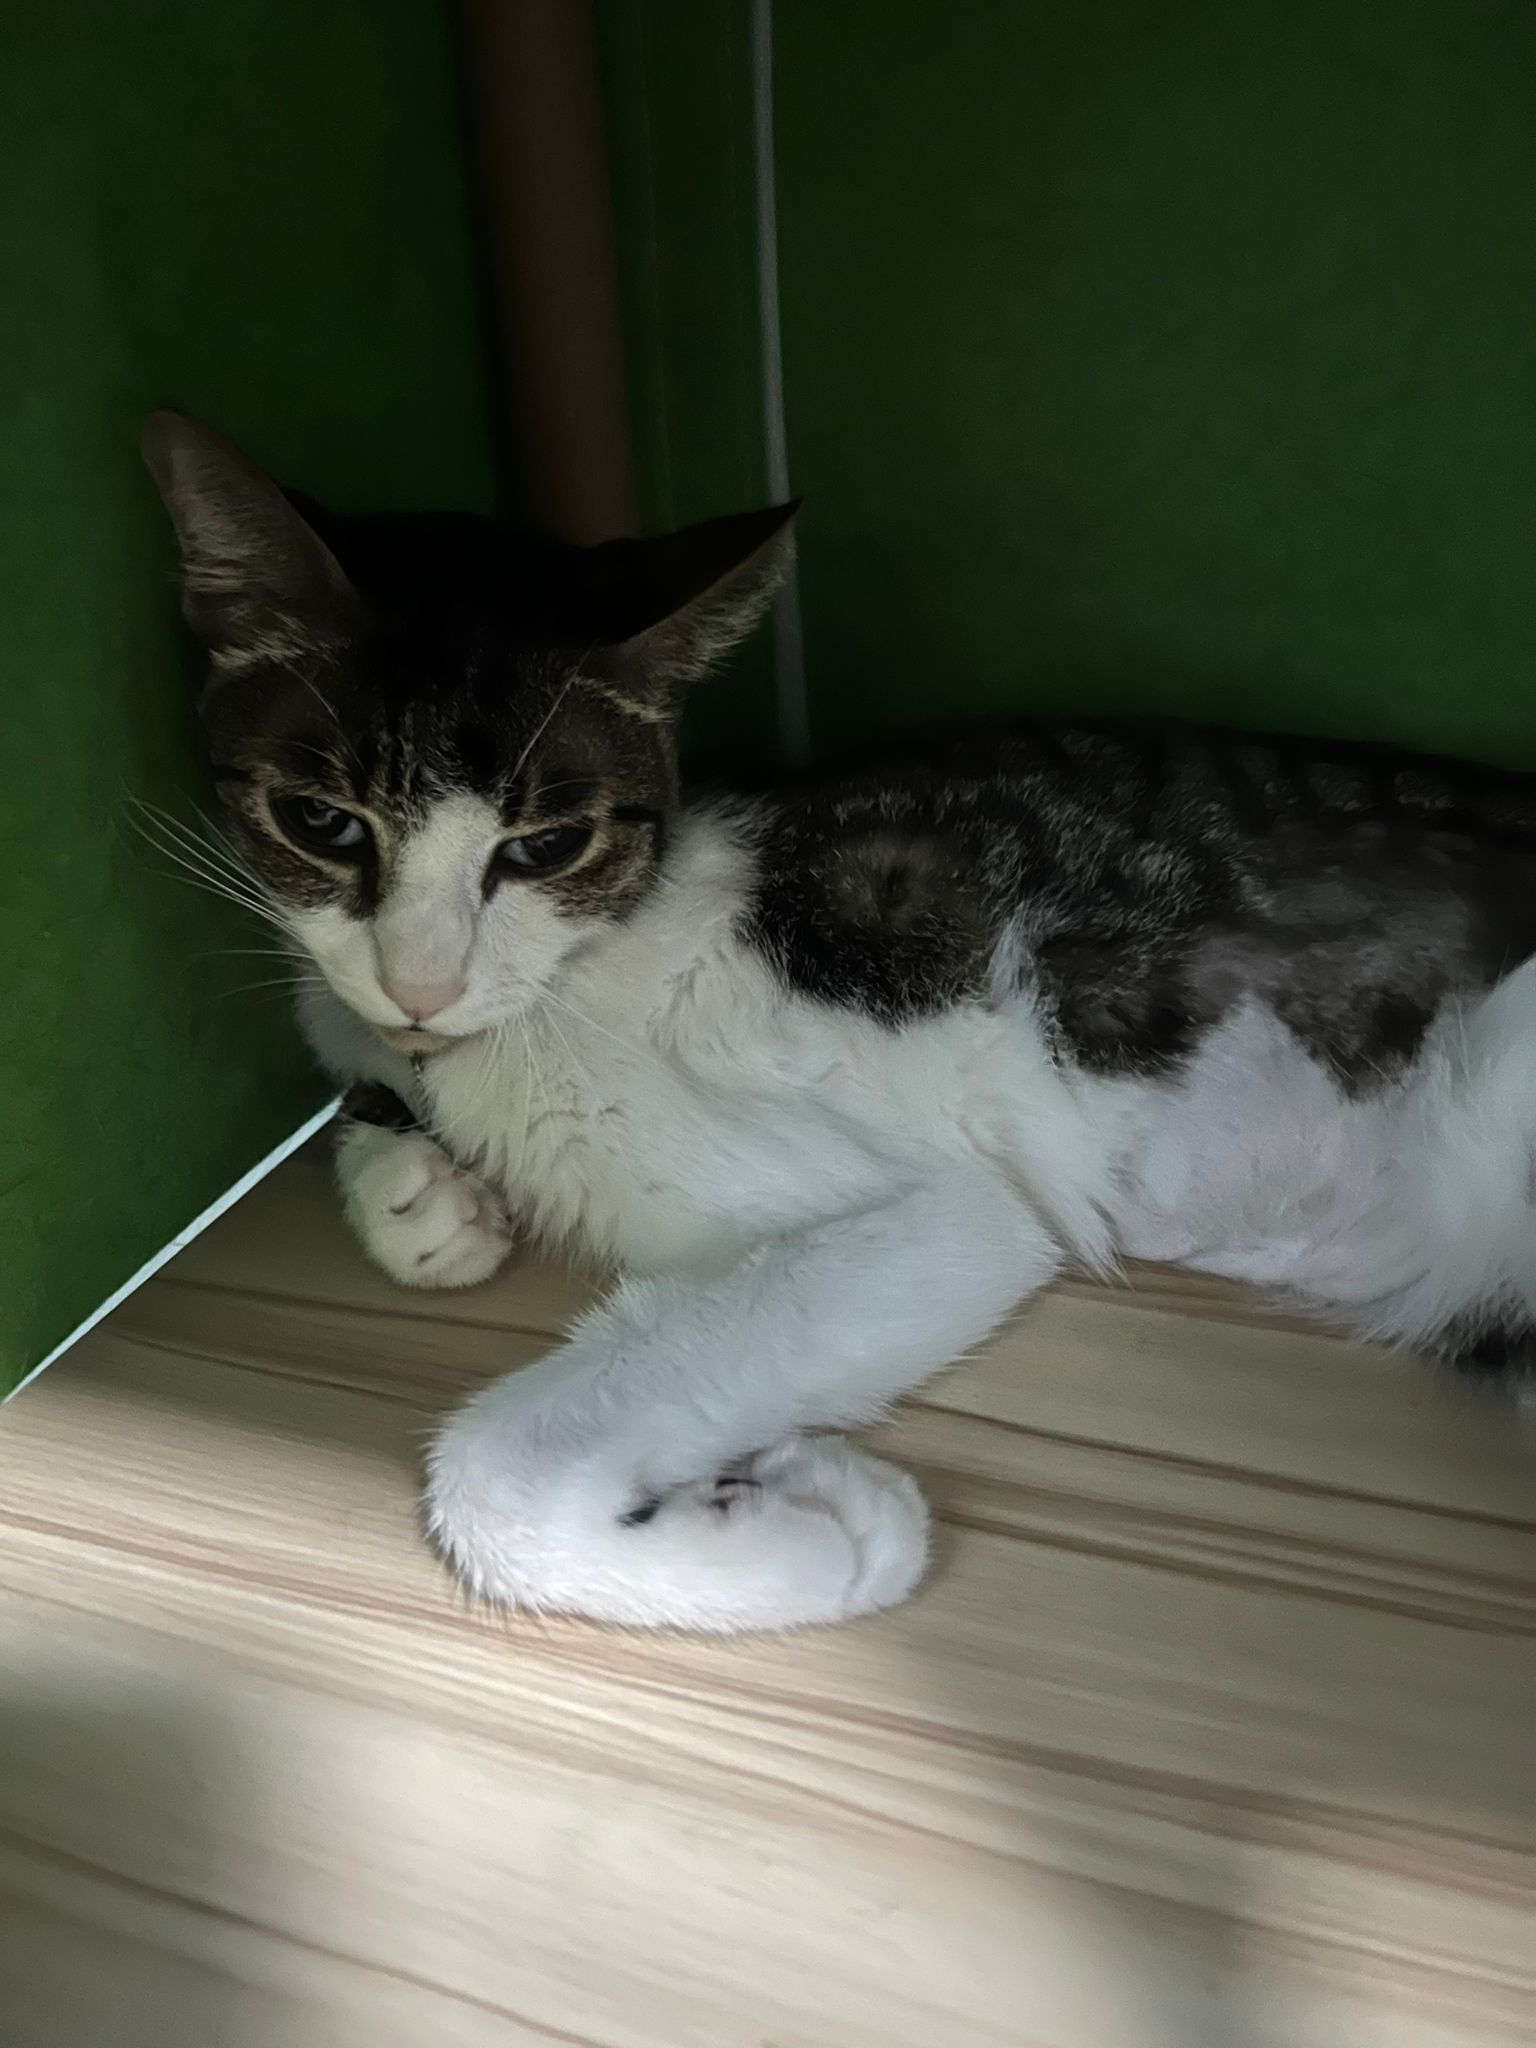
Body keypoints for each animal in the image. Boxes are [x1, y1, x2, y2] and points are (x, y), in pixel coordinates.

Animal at [142, 410, 1536, 1633]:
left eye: (543, 846)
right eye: (322, 823)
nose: (421, 986)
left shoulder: (952, 1214)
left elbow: (491, 1470)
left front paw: (832, 1527)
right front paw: (414, 1190)